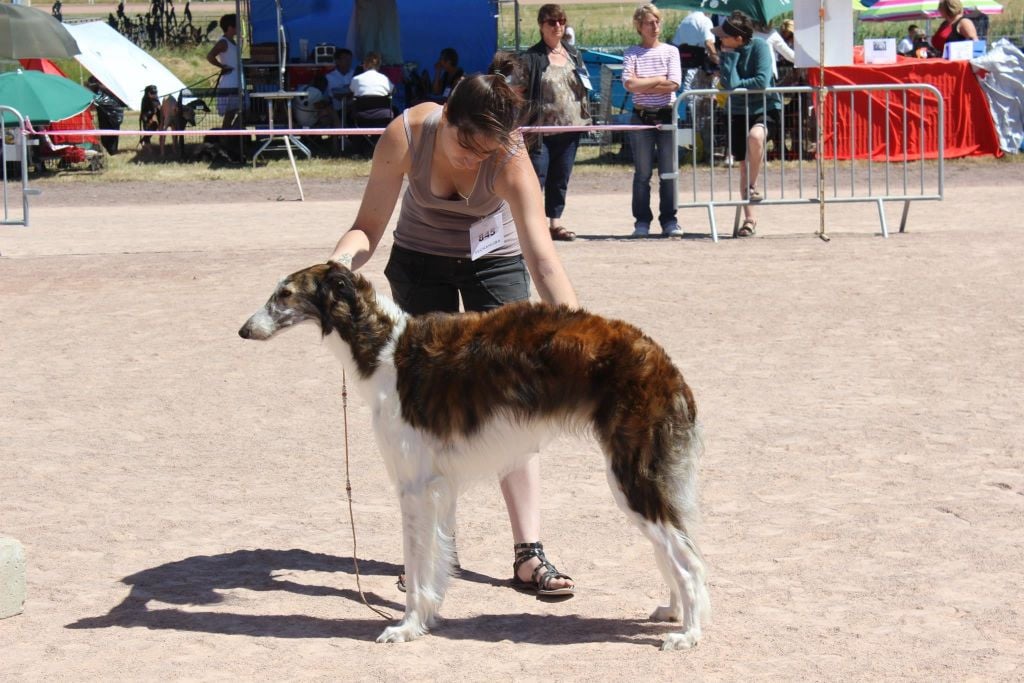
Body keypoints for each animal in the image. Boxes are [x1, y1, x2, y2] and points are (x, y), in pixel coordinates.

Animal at [237, 264, 712, 651]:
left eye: (284, 293)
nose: (243, 330)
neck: (384, 348)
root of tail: (663, 362)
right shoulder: (440, 488)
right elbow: (436, 563)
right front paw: (425, 620)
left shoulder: (414, 487)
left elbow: (417, 567)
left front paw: (405, 627)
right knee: (675, 551)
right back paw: (673, 612)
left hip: (631, 476)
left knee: (689, 561)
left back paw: (688, 633)